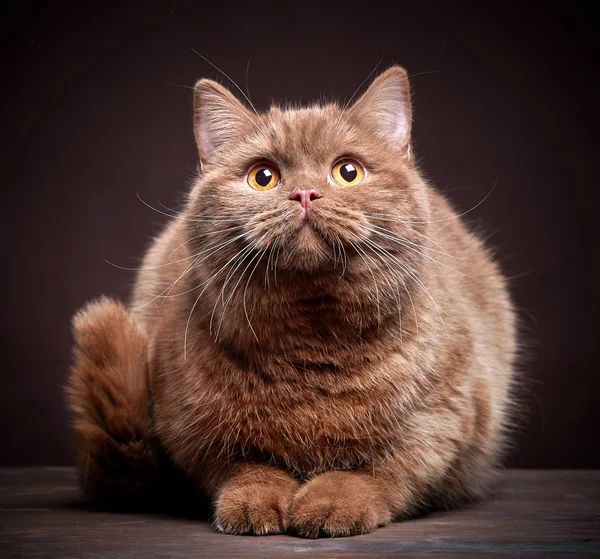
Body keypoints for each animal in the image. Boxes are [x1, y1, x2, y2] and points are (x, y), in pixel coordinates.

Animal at [64, 65, 516, 540]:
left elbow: (381, 471)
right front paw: (254, 502)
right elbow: (245, 466)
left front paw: (333, 502)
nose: (304, 193)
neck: (314, 342)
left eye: (348, 172)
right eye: (263, 176)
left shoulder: (442, 419)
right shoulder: (189, 428)